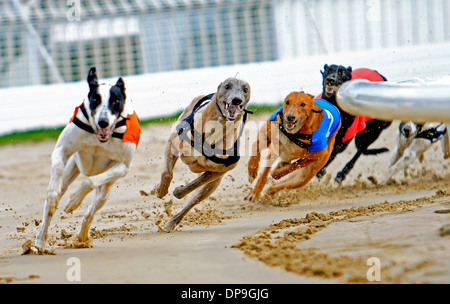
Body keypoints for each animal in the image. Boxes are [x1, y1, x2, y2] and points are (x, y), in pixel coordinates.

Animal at [33, 67, 140, 253]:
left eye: (116, 100)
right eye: (95, 99)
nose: (103, 122)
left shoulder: (123, 167)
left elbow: (88, 182)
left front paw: (74, 200)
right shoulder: (61, 150)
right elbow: (56, 174)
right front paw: (53, 195)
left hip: (105, 191)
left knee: (91, 211)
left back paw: (82, 237)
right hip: (73, 168)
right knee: (56, 200)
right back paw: (40, 241)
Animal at [155, 76, 251, 230]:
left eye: (245, 89)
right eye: (227, 86)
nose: (236, 100)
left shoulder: (221, 171)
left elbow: (193, 185)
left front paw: (178, 191)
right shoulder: (172, 144)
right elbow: (167, 173)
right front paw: (160, 190)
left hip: (212, 184)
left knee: (194, 200)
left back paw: (173, 221)